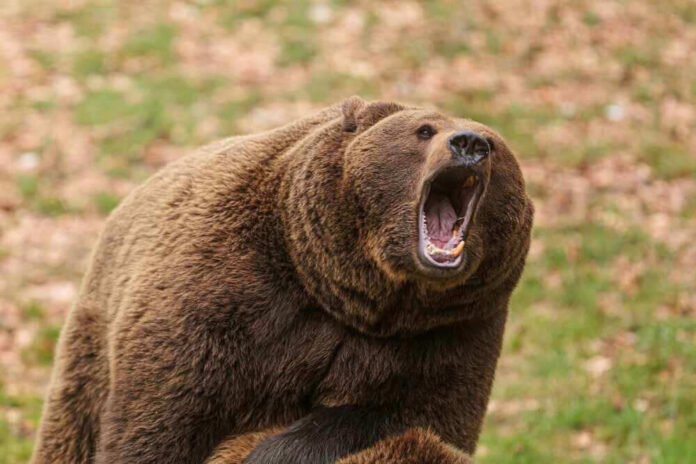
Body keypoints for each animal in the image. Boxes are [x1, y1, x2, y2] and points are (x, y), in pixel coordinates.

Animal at [31, 96, 533, 464]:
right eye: (424, 130)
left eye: (495, 145)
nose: (469, 143)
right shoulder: (225, 297)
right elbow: (161, 422)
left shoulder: (449, 332)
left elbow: (419, 414)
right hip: (93, 343)